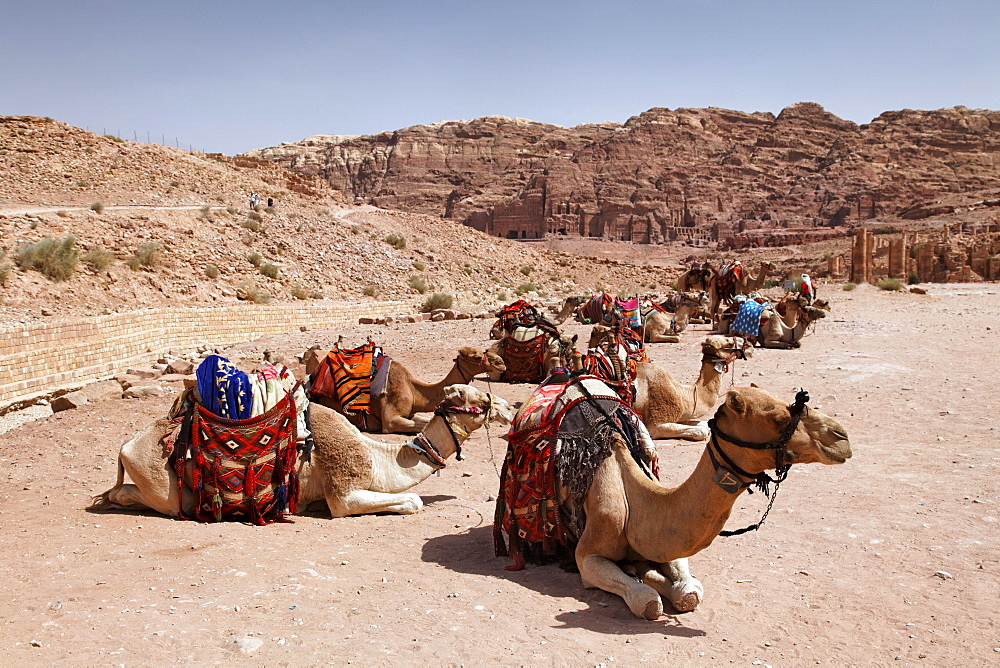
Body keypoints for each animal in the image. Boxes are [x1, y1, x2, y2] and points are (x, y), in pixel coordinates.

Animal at [91, 384, 516, 520]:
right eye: (479, 400)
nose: (511, 408)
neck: (378, 457)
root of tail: (125, 446)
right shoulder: (342, 493)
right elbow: (412, 501)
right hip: (165, 487)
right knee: (137, 495)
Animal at [306, 344, 508, 434]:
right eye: (476, 356)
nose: (501, 363)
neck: (414, 390)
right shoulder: (390, 421)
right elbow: (421, 426)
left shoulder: (411, 413)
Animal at [564, 384, 852, 620]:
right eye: (778, 419)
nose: (842, 438)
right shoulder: (587, 556)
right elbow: (647, 601)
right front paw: (642, 579)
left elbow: (689, 591)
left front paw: (650, 574)